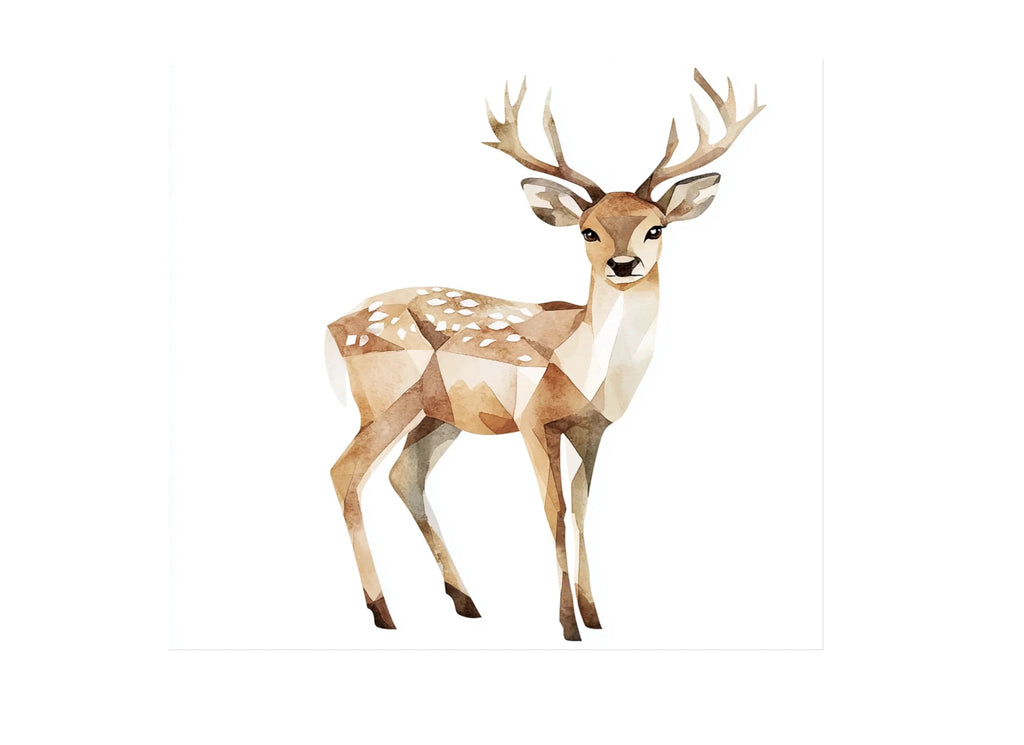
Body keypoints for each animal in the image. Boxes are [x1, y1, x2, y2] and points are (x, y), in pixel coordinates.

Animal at [325, 69, 764, 641]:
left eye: (656, 227)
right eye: (588, 230)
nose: (624, 264)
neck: (585, 368)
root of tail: (331, 326)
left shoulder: (592, 428)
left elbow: (581, 507)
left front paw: (594, 615)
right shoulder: (533, 420)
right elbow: (553, 511)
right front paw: (566, 624)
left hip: (438, 414)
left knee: (405, 475)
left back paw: (465, 600)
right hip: (385, 398)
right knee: (346, 472)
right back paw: (383, 611)